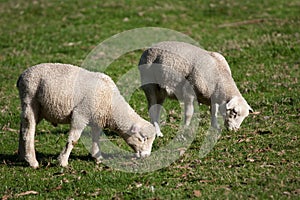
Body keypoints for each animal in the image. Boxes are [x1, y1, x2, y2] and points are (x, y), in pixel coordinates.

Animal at [17, 63, 156, 168]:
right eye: (143, 139)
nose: (147, 156)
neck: (111, 107)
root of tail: (22, 76)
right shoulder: (80, 115)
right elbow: (73, 140)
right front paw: (63, 161)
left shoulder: (98, 120)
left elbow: (96, 138)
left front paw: (97, 157)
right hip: (29, 100)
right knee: (28, 131)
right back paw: (32, 161)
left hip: (39, 109)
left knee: (23, 127)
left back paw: (22, 155)